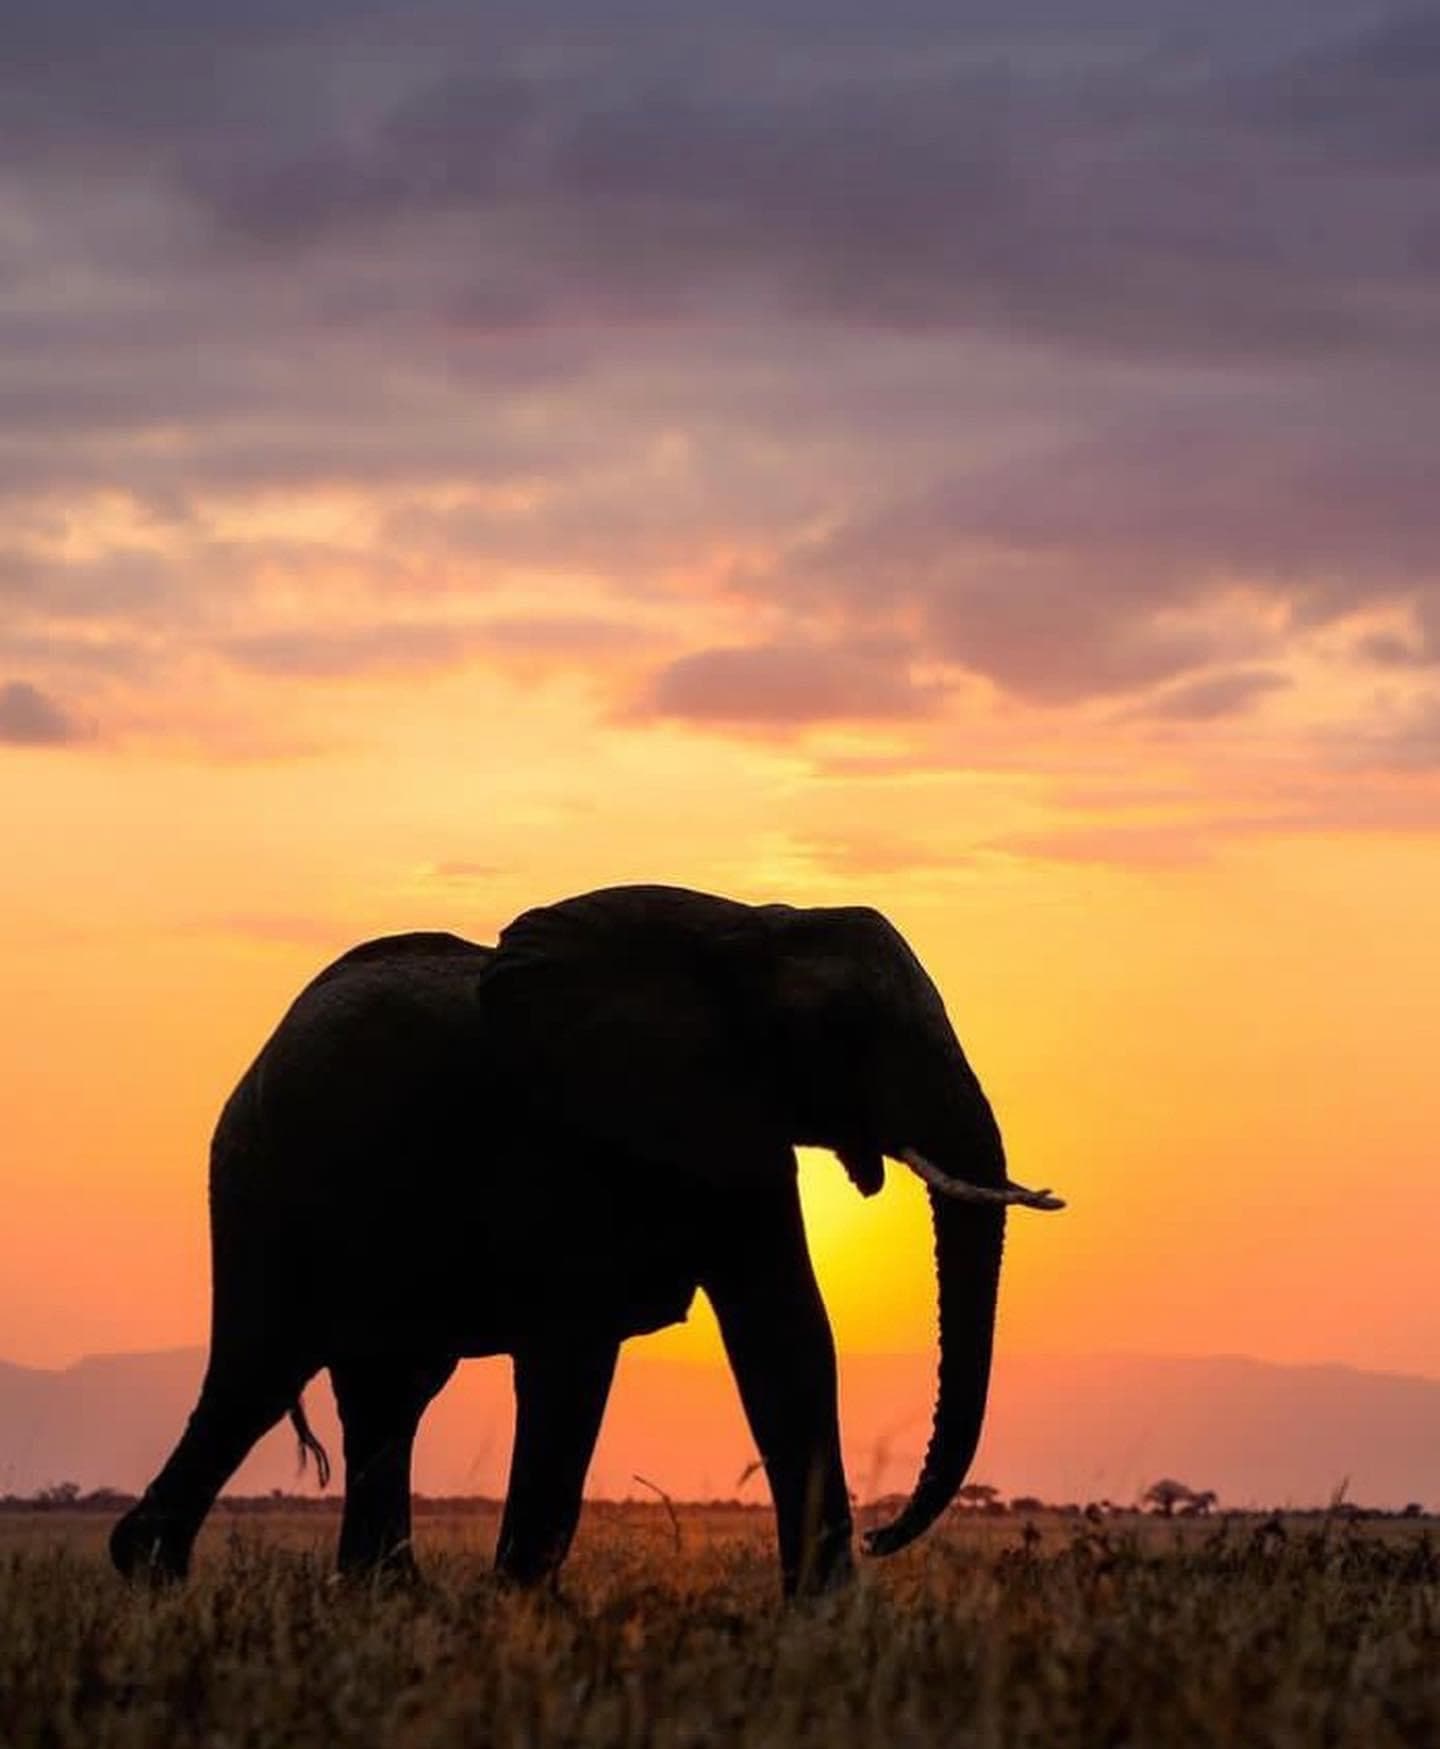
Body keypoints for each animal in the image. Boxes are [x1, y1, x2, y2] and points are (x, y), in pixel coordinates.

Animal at [110, 884, 1062, 1596]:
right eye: (848, 1028)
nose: (882, 1535)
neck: (751, 926)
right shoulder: (556, 1138)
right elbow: (571, 1353)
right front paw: (521, 1606)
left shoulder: (730, 1121)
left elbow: (785, 1334)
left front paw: (824, 1616)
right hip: (261, 1178)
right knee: (262, 1369)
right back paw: (156, 1573)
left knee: (385, 1391)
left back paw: (377, 1595)